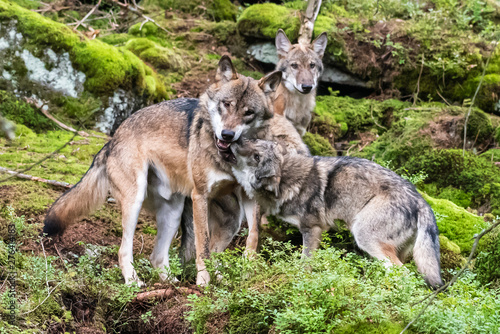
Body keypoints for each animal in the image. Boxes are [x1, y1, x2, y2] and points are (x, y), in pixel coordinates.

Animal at [46, 56, 304, 286]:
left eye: (248, 112)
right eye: (226, 104)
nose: (227, 135)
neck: (230, 159)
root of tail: (113, 138)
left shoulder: (250, 196)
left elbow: (253, 236)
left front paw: (247, 269)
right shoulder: (200, 196)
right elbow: (203, 246)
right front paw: (203, 282)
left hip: (191, 214)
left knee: (158, 257)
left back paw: (175, 282)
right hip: (136, 200)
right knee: (124, 250)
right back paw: (134, 282)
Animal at [232, 140, 444, 288]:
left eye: (256, 156)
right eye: (254, 141)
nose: (234, 140)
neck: (288, 179)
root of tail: (421, 200)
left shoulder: (312, 229)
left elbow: (304, 263)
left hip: (364, 237)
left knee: (403, 273)